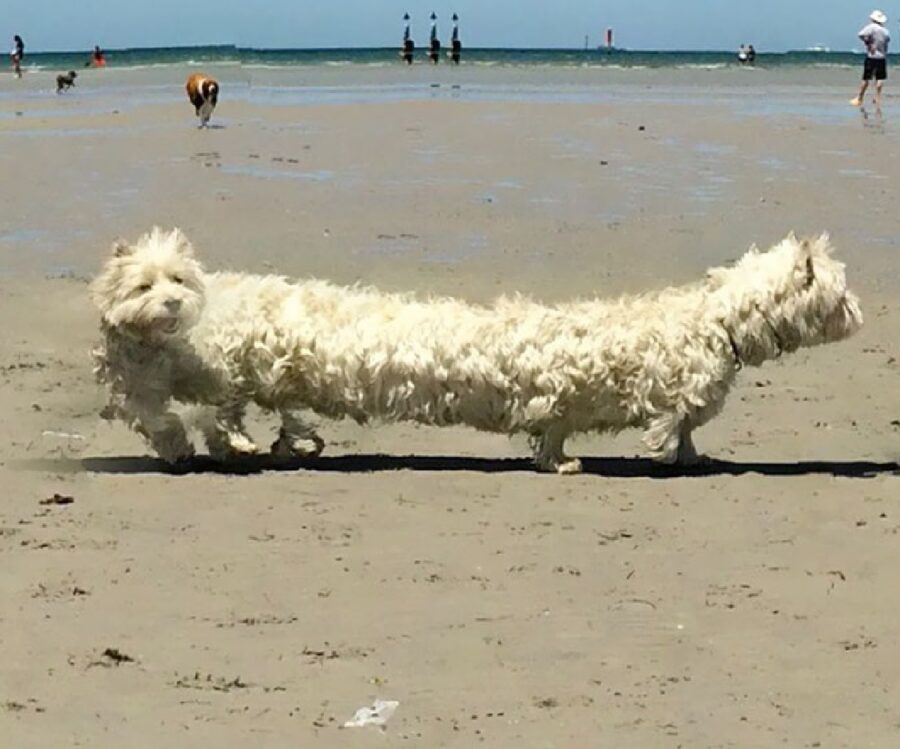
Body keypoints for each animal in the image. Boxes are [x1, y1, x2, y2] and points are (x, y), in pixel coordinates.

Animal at [93, 228, 864, 474]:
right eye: (841, 292)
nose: (862, 314)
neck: (717, 319)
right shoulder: (665, 394)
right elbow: (666, 426)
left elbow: (565, 429)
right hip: (220, 376)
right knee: (198, 416)